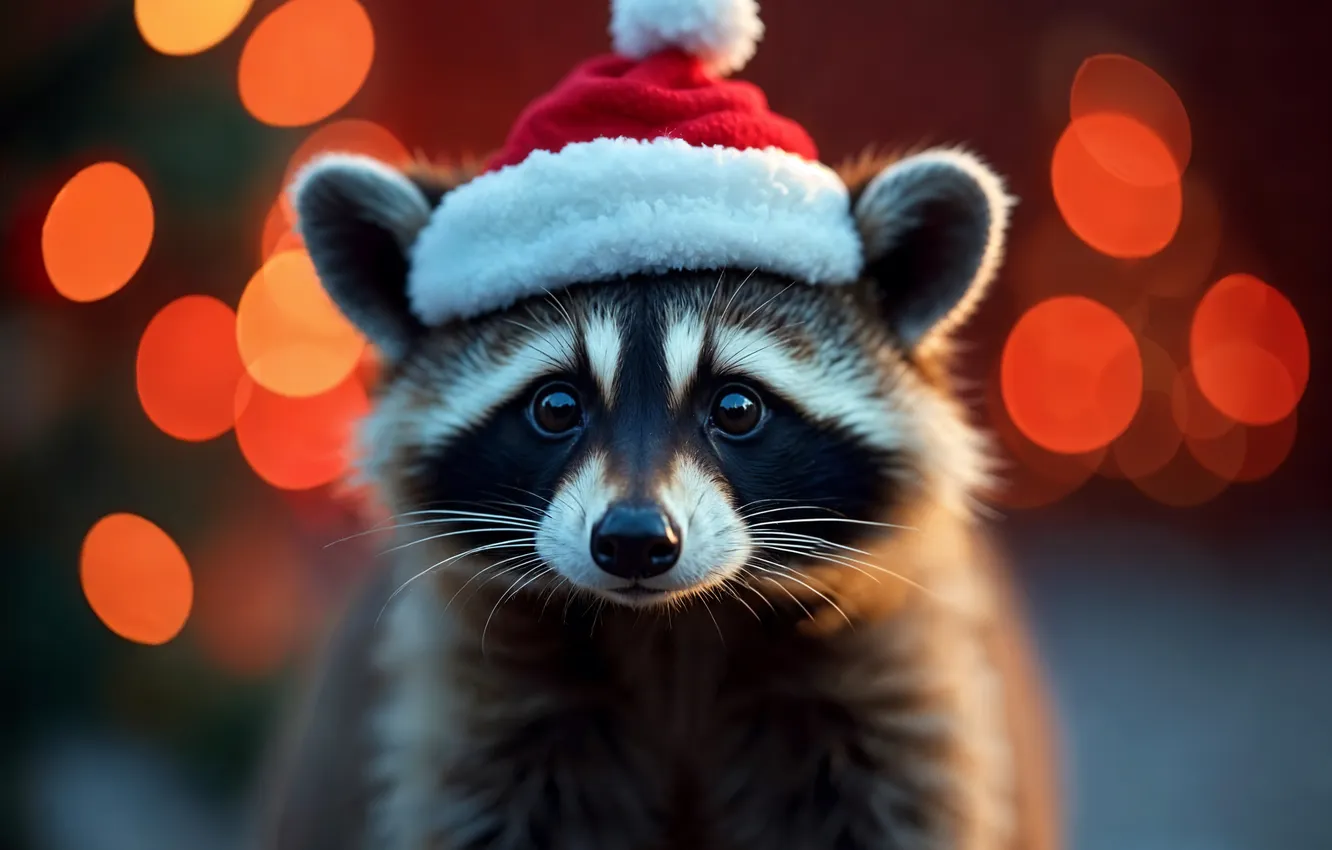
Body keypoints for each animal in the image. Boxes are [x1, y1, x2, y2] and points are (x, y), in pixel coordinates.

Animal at [251, 146, 1062, 850]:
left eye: (736, 407)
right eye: (556, 407)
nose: (635, 540)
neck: (675, 628)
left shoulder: (892, 692)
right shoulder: (481, 708)